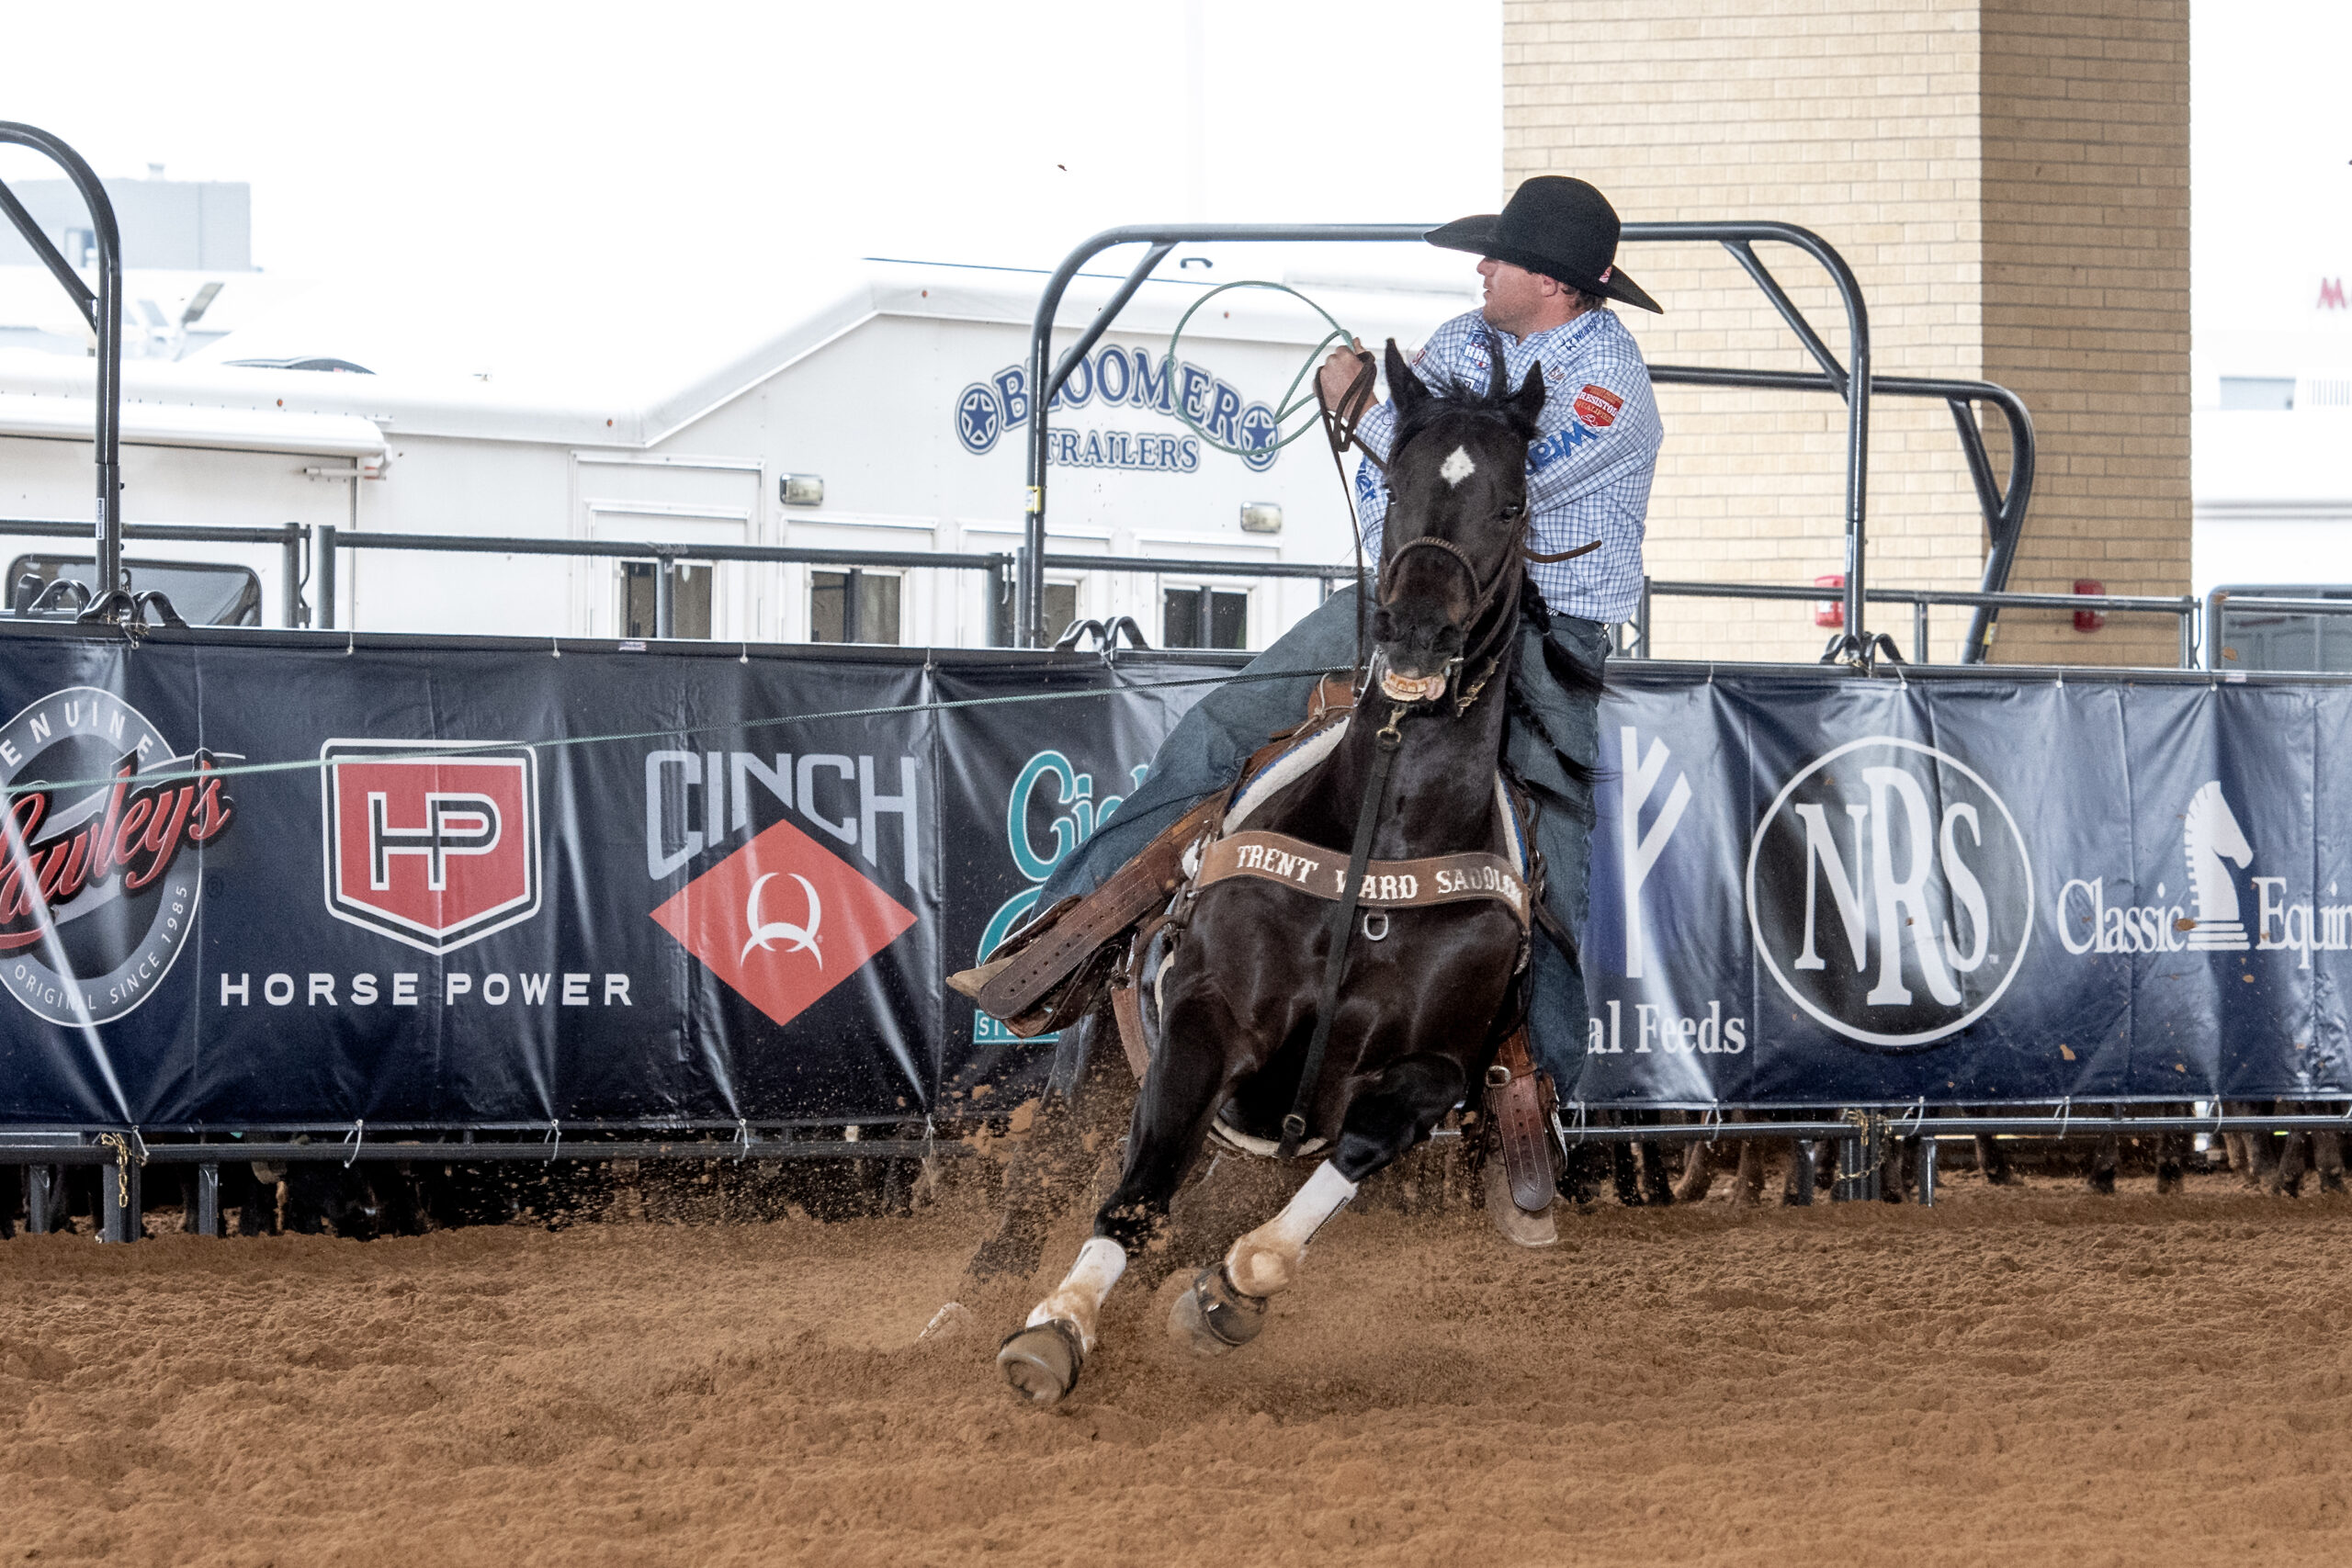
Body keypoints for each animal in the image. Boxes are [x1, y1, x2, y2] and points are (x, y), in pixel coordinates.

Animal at [992, 338, 1580, 1401]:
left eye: (1513, 503)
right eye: (1393, 487)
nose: (1417, 629)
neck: (1377, 857)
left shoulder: (1440, 1066)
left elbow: (1348, 1155)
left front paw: (1227, 1293)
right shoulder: (1202, 1020)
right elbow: (1141, 1183)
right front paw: (1055, 1329)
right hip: (1085, 1082)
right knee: (1037, 1199)